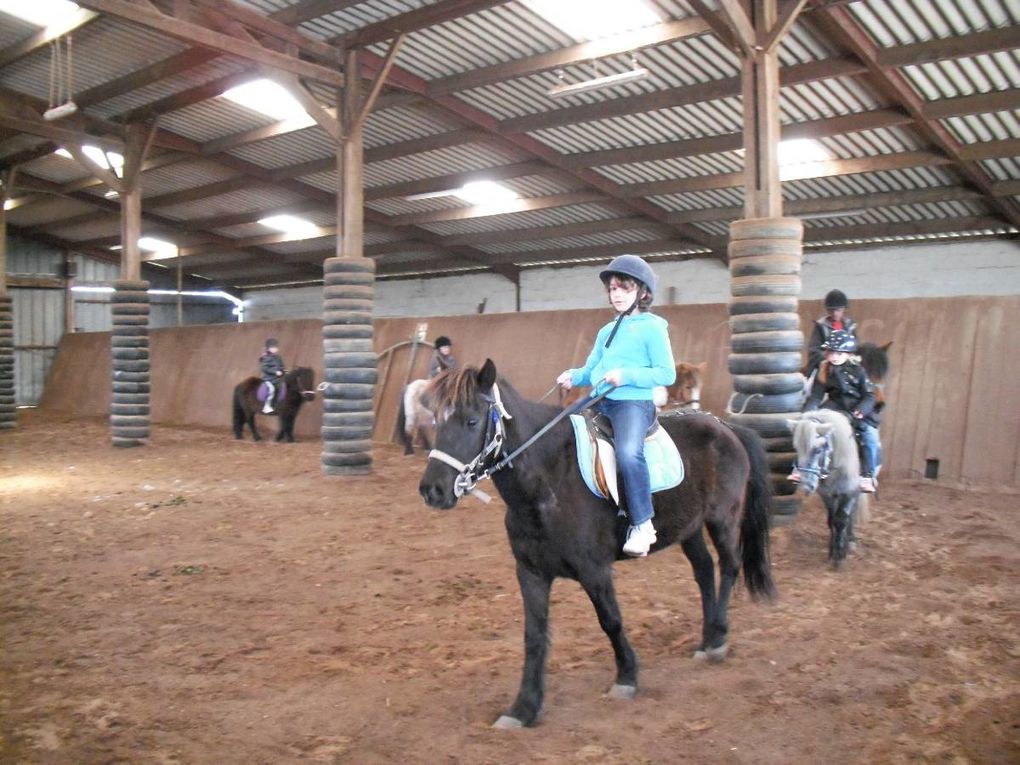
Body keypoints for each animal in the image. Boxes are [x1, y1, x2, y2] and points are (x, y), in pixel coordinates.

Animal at [418, 361, 775, 730]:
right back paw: (706, 639)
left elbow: (610, 621)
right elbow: (534, 637)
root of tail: (726, 427)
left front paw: (627, 677)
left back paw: (718, 638)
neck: (549, 481)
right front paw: (523, 708)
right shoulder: (530, 573)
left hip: (723, 519)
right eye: (437, 420)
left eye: (472, 420)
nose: (433, 490)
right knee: (704, 571)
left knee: (729, 566)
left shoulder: (595, 571)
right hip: (688, 528)